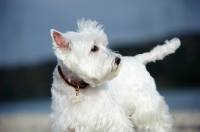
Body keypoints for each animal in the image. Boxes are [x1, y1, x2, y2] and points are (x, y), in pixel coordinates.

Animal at [50, 18, 181, 132]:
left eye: (104, 45)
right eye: (94, 48)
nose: (118, 59)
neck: (77, 86)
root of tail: (137, 59)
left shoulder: (113, 119)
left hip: (147, 106)